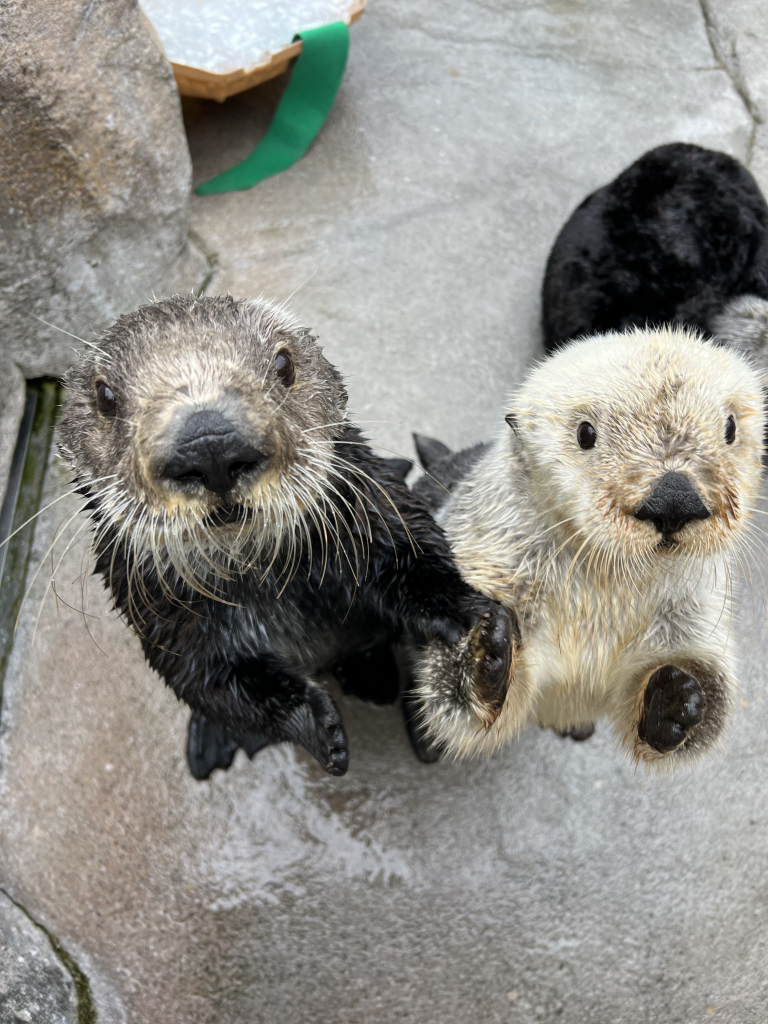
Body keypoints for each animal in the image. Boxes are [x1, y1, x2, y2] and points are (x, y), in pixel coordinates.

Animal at [60, 294, 514, 774]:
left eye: (284, 364)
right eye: (105, 396)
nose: (209, 443)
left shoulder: (375, 512)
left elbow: (417, 559)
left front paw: (484, 632)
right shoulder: (165, 622)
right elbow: (212, 684)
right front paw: (316, 726)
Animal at [411, 327, 765, 770]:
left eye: (730, 427)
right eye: (585, 433)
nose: (674, 498)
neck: (601, 582)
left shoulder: (695, 604)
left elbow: (700, 674)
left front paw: (676, 698)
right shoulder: (486, 552)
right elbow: (456, 698)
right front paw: (485, 650)